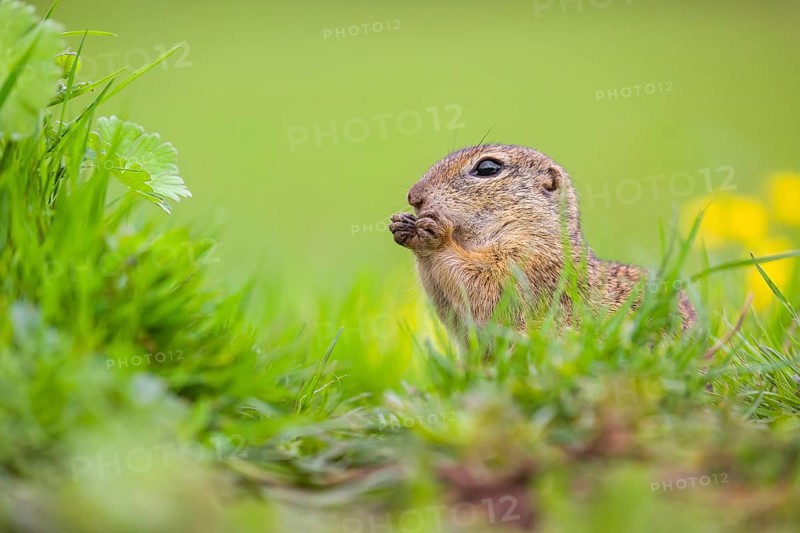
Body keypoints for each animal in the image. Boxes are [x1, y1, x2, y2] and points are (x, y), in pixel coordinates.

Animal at [389, 144, 696, 341]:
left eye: (487, 168)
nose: (413, 196)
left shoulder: (528, 263)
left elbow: (485, 288)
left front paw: (435, 237)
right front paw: (402, 224)